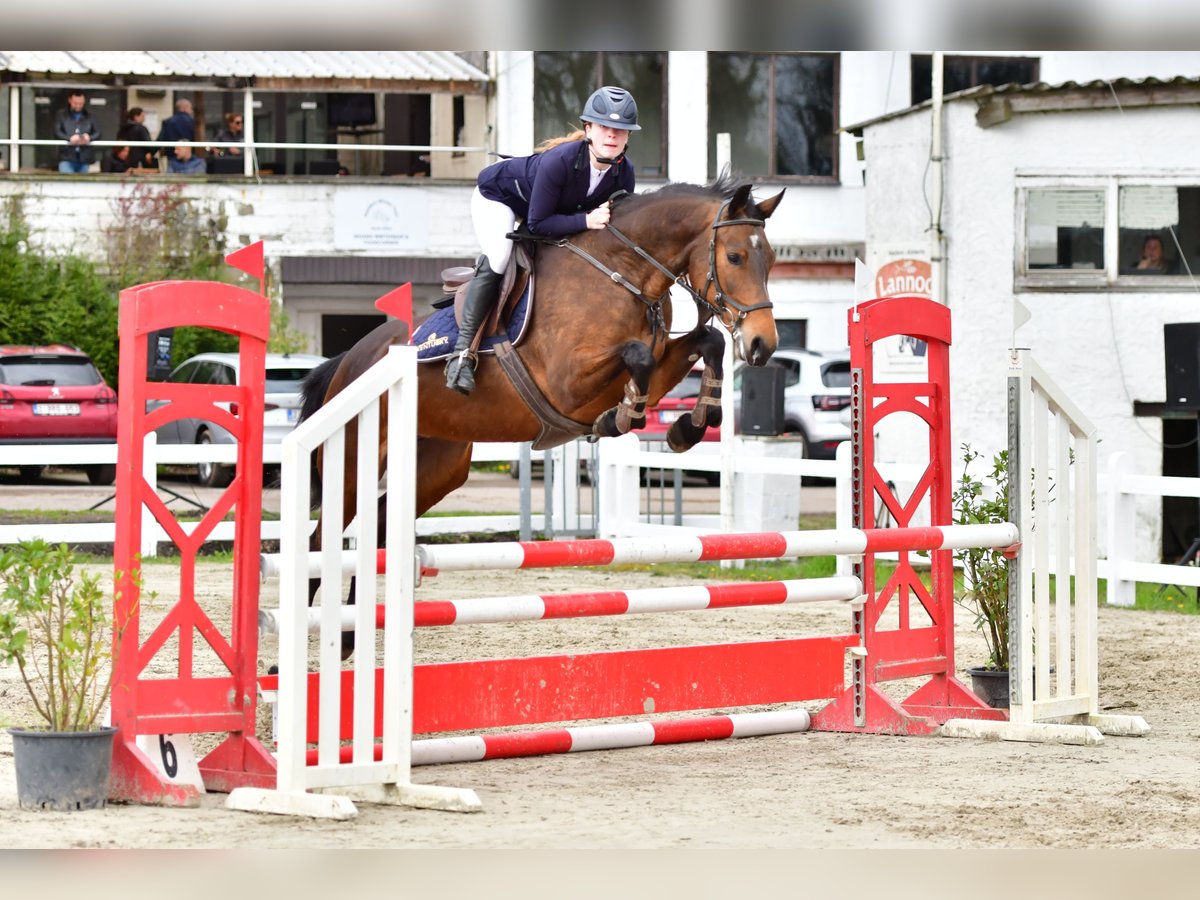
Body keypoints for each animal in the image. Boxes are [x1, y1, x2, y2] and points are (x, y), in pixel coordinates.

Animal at [298, 176, 782, 633]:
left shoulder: (653, 365)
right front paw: (620, 418)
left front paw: (690, 425)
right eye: (735, 257)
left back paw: (348, 636)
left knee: (380, 528)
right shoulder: (568, 382)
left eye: (773, 259)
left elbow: (707, 340)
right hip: (353, 465)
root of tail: (352, 358)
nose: (763, 345)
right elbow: (637, 356)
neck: (622, 273)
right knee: (320, 543)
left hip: (438, 466)